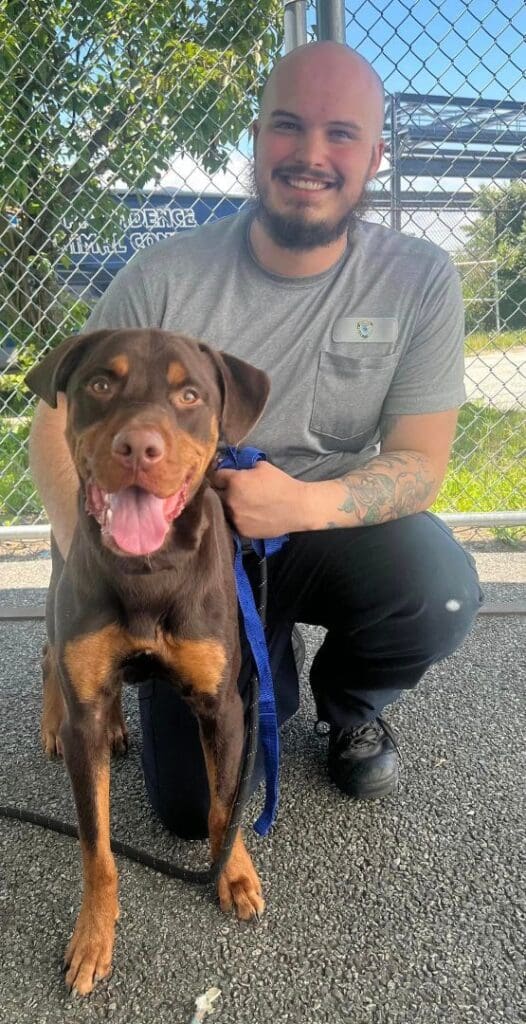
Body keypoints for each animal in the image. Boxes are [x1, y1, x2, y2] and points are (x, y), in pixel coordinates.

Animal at [26, 327, 268, 991]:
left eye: (189, 395)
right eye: (100, 383)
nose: (139, 446)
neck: (148, 571)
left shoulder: (223, 705)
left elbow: (223, 804)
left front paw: (233, 873)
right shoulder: (85, 716)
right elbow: (96, 848)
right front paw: (92, 936)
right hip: (60, 586)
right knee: (51, 652)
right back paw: (55, 721)